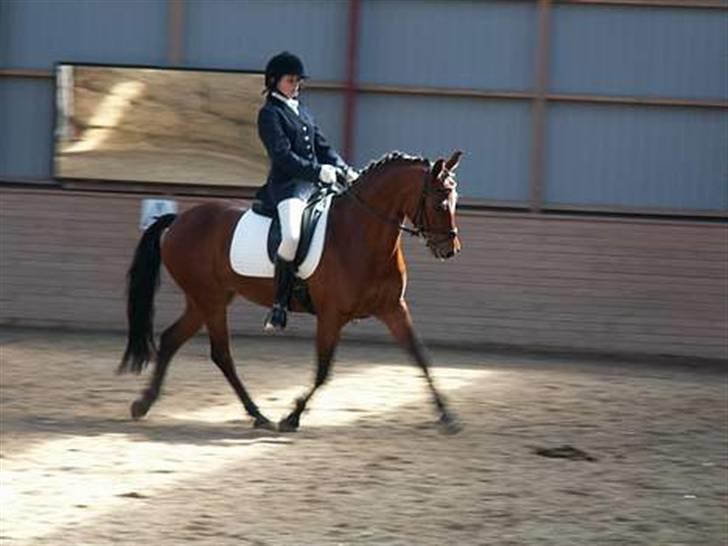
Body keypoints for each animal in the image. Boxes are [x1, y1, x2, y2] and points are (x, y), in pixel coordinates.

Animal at [117, 149, 464, 430]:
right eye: (439, 203)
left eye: (455, 200)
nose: (450, 250)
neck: (360, 235)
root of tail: (178, 220)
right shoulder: (331, 316)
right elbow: (323, 371)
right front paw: (292, 417)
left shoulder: (393, 308)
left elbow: (419, 355)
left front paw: (447, 415)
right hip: (209, 299)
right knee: (221, 354)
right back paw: (258, 414)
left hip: (205, 300)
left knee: (172, 338)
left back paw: (144, 404)